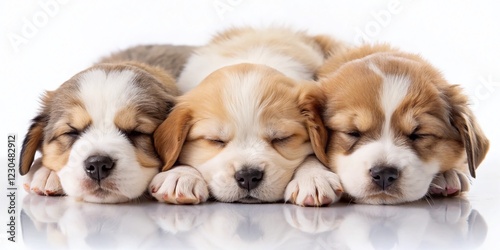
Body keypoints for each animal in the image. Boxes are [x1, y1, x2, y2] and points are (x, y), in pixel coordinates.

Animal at [152, 27, 346, 207]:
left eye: (281, 138)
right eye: (215, 140)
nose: (248, 176)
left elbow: (314, 154)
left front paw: (314, 177)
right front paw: (180, 175)